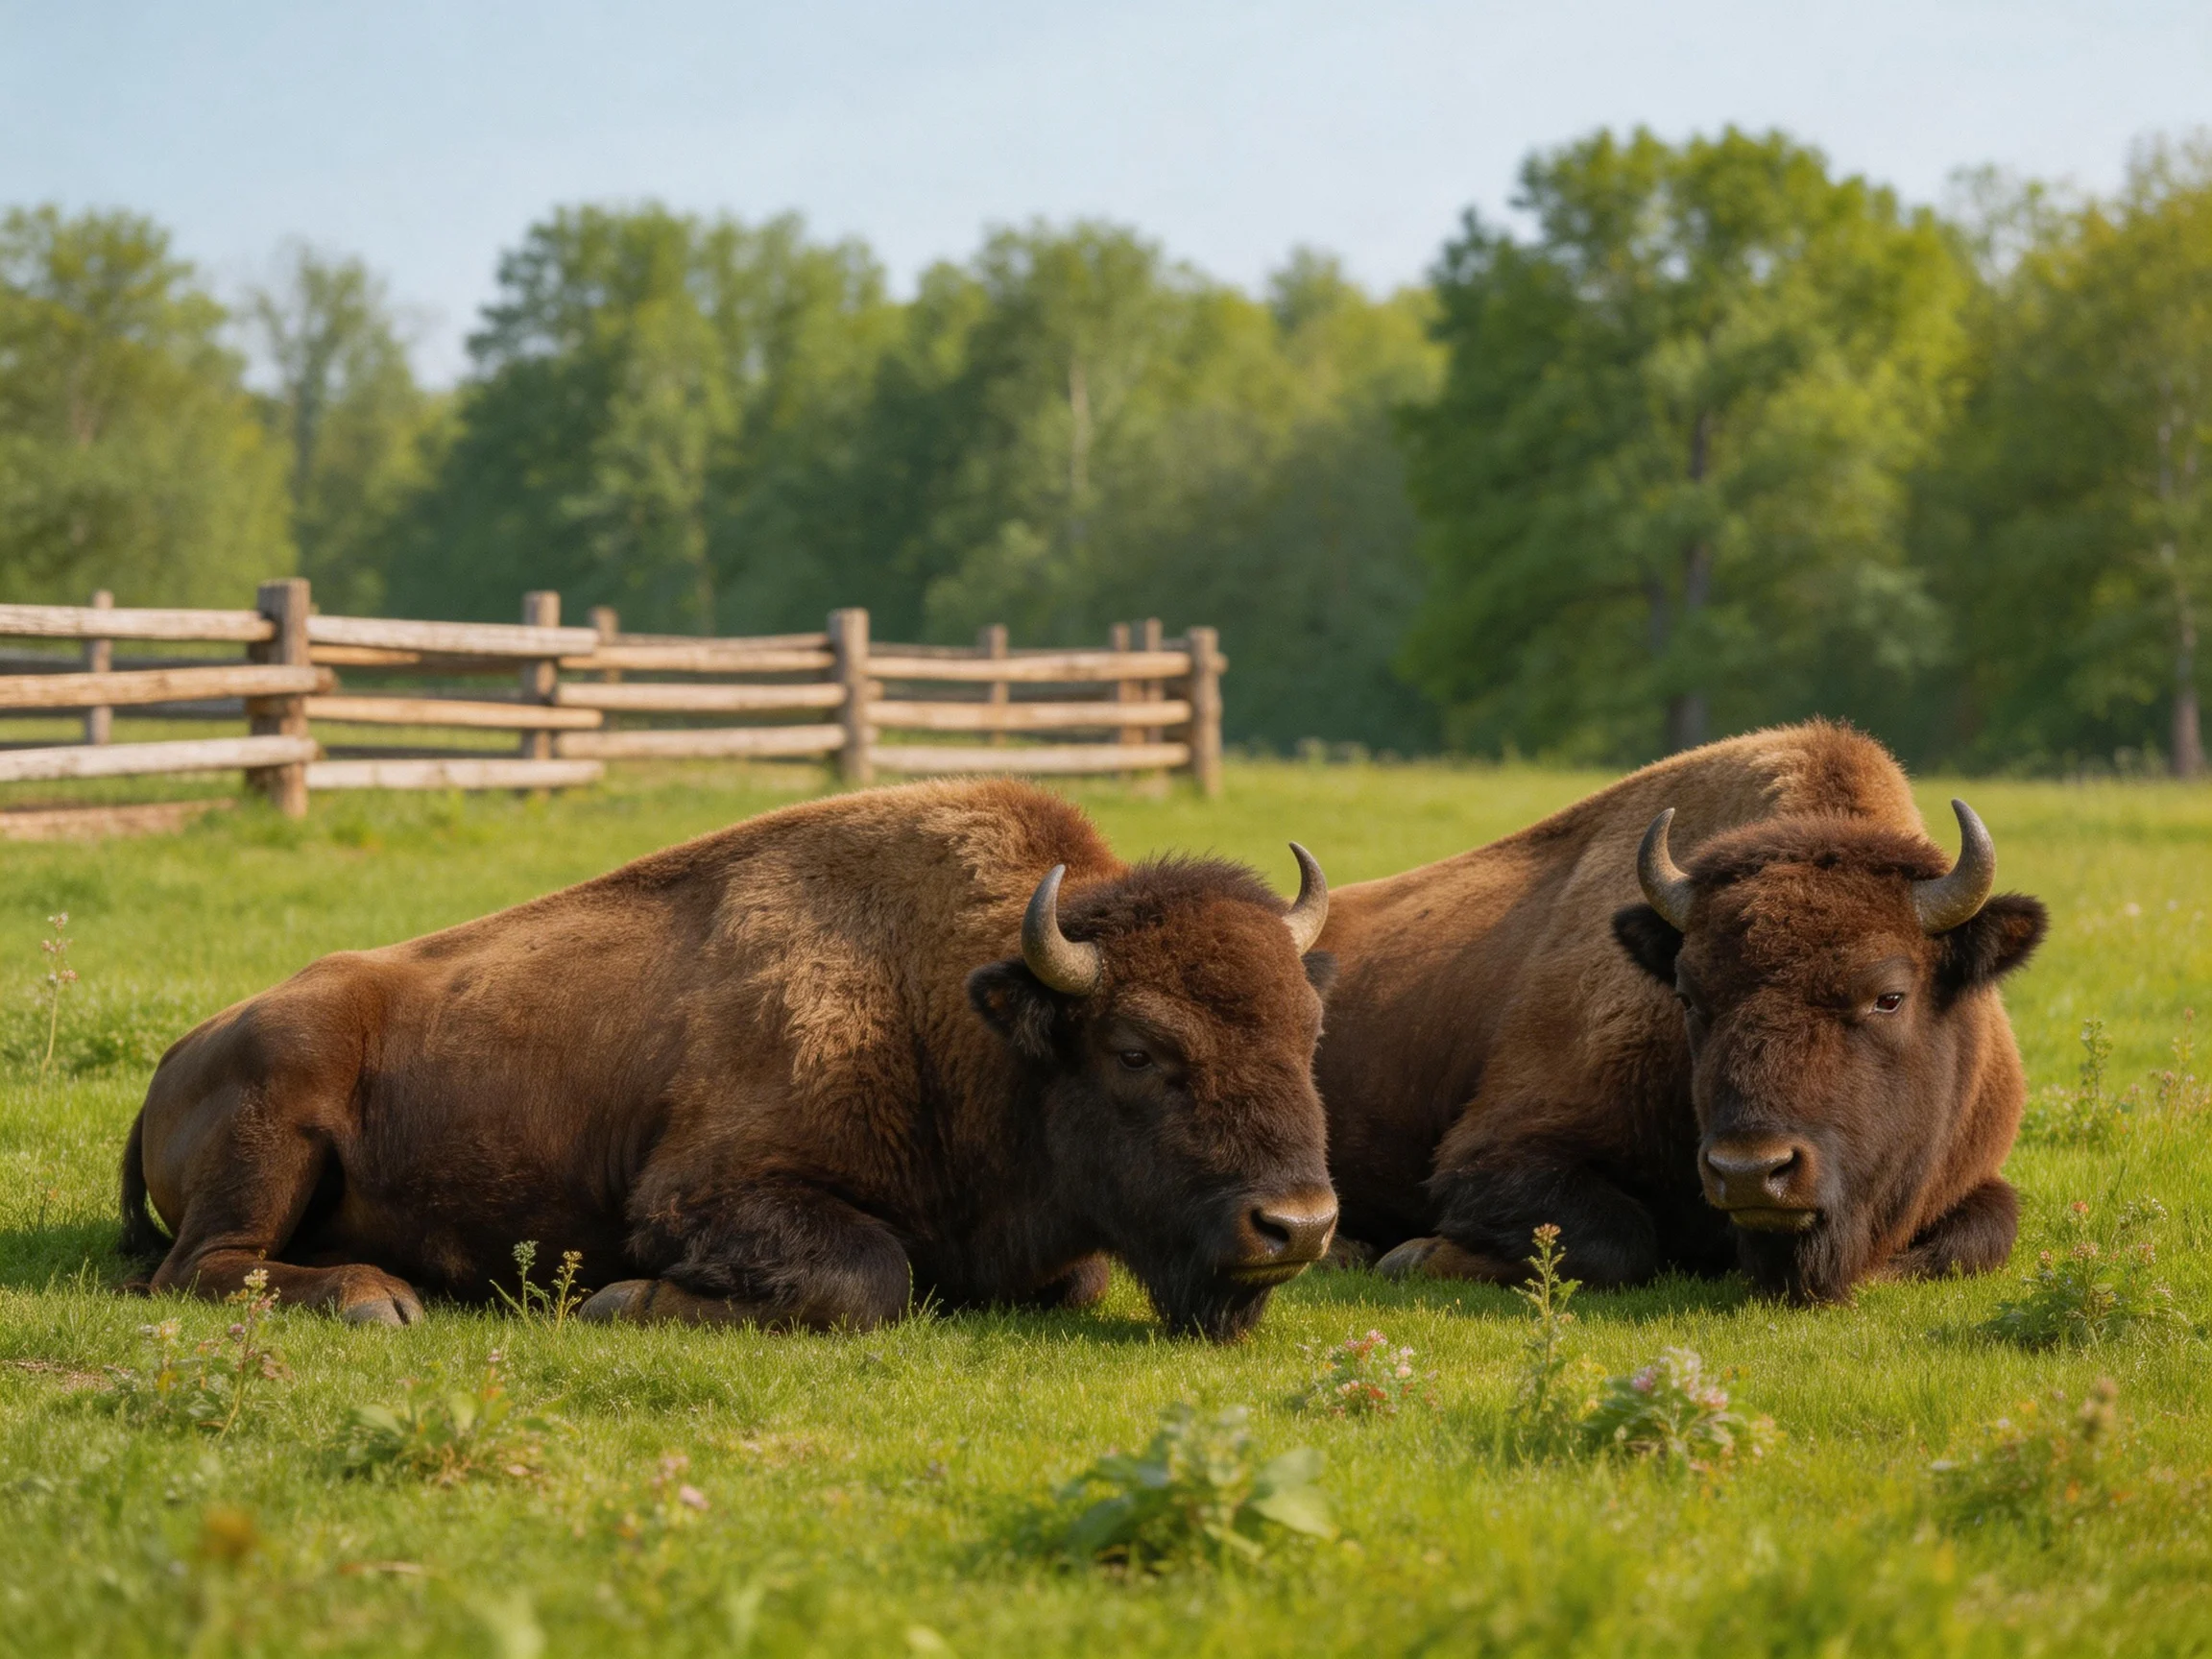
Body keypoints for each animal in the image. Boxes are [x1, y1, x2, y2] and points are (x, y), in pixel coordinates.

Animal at [121, 779, 1339, 1340]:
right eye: (1136, 1049)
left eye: (1309, 1033)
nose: (1299, 1226)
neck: (953, 1006)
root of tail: (180, 1054)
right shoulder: (706, 1194)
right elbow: (870, 1276)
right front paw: (619, 1302)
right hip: (278, 1118)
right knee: (202, 1267)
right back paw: (377, 1299)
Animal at [1314, 722, 2047, 1302]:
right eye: (1690, 996)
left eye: (1890, 996)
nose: (1751, 1171)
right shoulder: (1493, 1149)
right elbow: (1616, 1243)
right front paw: (1415, 1255)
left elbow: (1980, 1236)